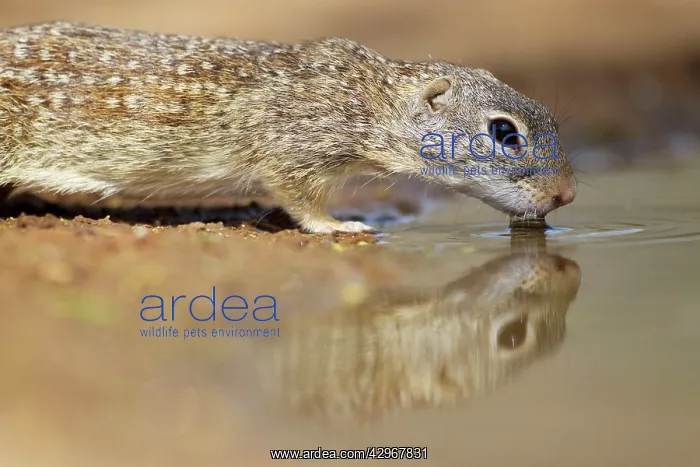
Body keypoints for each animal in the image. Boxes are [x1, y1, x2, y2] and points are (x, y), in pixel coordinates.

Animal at [0, 21, 576, 233]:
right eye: (505, 134)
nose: (567, 195)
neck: (369, 96)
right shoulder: (294, 151)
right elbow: (302, 201)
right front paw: (341, 226)